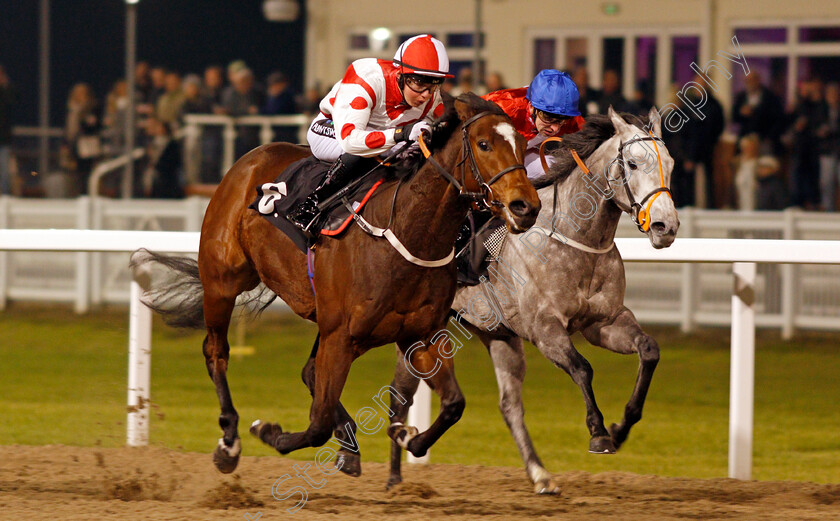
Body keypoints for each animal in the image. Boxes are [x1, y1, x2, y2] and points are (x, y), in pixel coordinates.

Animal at [131, 91, 540, 474]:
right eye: (484, 144)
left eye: (523, 145)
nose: (526, 206)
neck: (409, 233)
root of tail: (250, 159)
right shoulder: (341, 335)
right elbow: (317, 425)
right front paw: (269, 432)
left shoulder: (417, 335)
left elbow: (454, 405)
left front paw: (406, 435)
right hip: (222, 281)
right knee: (217, 352)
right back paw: (229, 441)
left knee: (310, 372)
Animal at [384, 106, 680, 492]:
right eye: (631, 163)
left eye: (670, 164)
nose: (666, 227)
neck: (575, 238)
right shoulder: (545, 328)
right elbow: (582, 368)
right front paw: (600, 433)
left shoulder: (605, 323)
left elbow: (649, 349)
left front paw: (620, 428)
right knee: (399, 396)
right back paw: (394, 474)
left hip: (497, 335)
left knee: (509, 405)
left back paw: (539, 473)